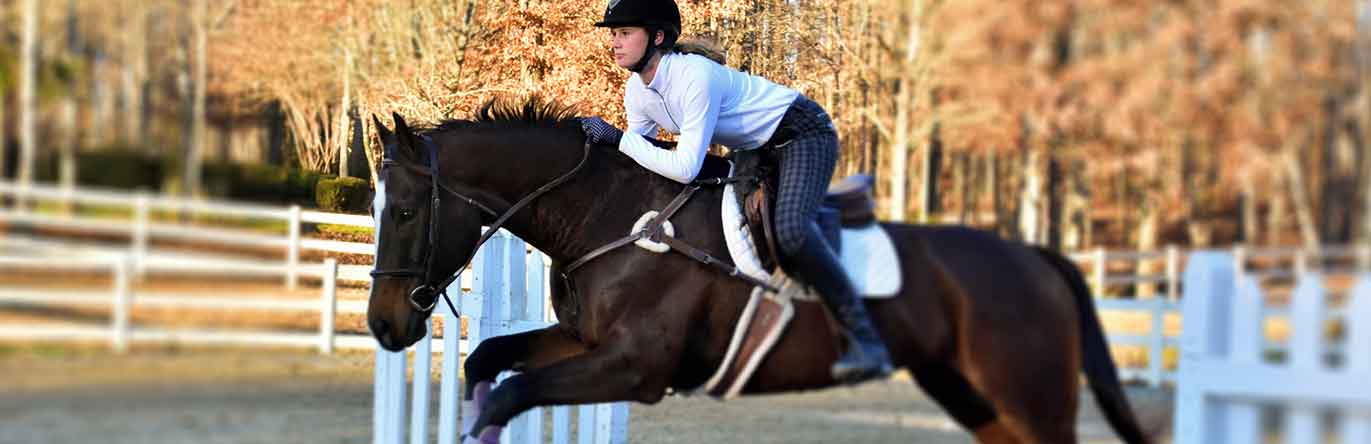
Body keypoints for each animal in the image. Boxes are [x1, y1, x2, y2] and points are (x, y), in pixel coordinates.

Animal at [361, 97, 1146, 444]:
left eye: (404, 210)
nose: (384, 325)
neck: (613, 218)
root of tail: (1035, 257)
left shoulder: (635, 368)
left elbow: (508, 394)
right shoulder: (583, 344)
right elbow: (487, 364)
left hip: (1031, 400)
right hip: (976, 398)